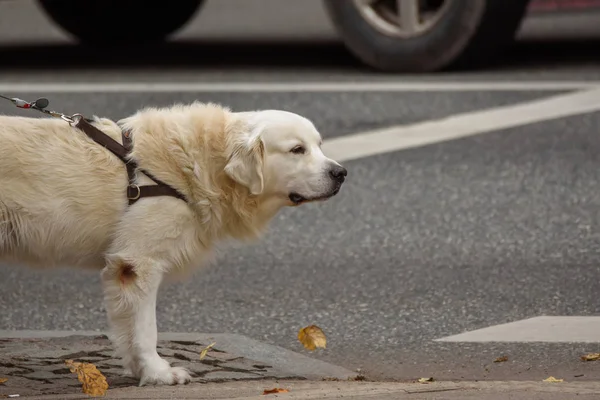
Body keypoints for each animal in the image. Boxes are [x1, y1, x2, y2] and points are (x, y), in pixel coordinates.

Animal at [0, 101, 346, 386]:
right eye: (297, 150)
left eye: (318, 146)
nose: (341, 173)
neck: (204, 163)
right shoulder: (138, 263)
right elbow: (146, 328)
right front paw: (158, 373)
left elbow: (127, 330)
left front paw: (140, 370)